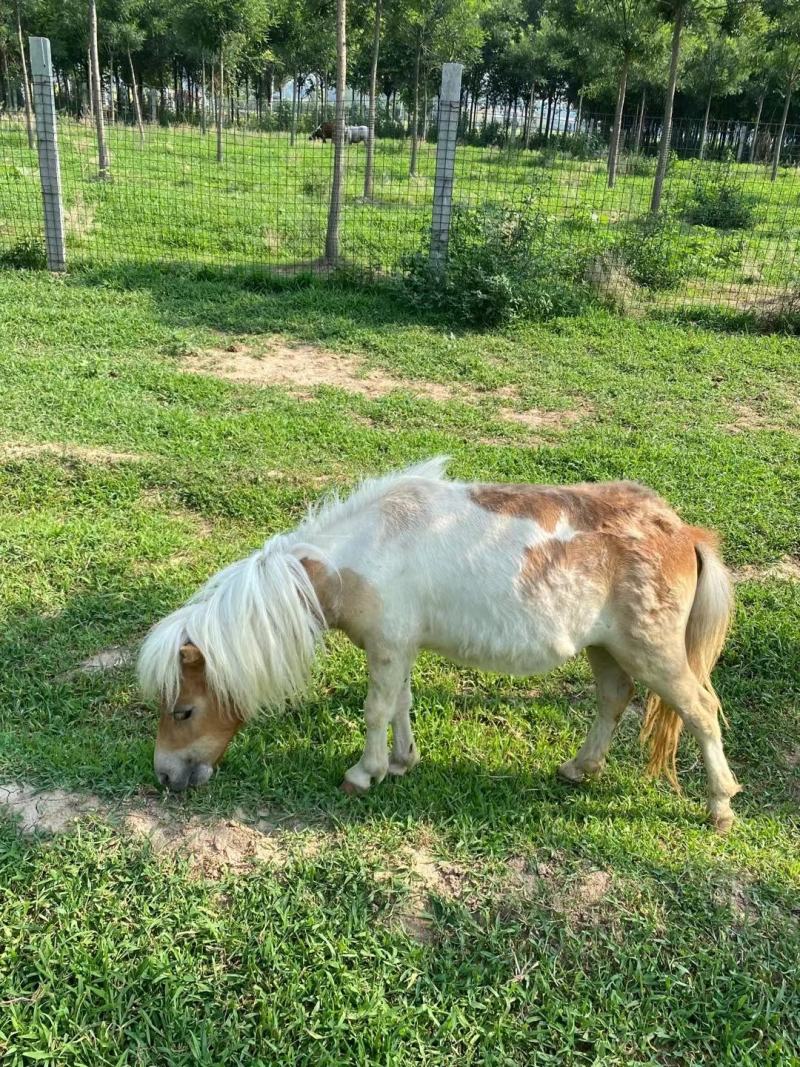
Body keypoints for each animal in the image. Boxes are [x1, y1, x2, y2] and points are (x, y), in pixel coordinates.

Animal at [138, 458, 740, 831]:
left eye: (183, 710)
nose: (165, 776)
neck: (365, 551)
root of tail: (682, 531)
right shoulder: (398, 648)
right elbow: (400, 704)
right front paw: (402, 762)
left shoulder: (386, 648)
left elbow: (376, 710)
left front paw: (364, 774)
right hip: (607, 650)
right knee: (614, 700)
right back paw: (579, 768)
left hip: (654, 654)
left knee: (701, 711)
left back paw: (720, 807)